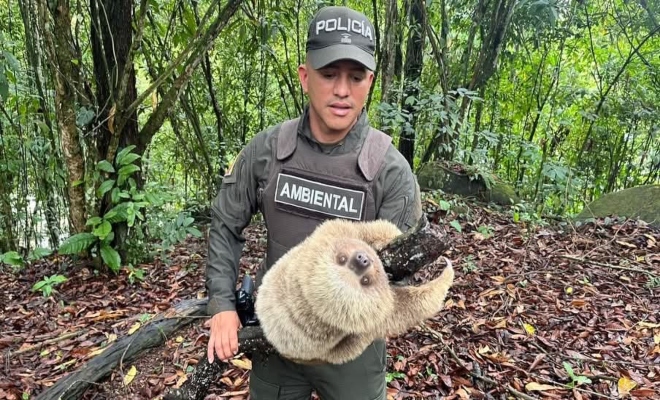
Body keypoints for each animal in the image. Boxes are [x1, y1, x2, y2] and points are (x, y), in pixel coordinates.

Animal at [254, 218, 454, 365]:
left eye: (341, 259)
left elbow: (365, 229)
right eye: (365, 281)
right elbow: (408, 307)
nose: (362, 259)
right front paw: (447, 271)